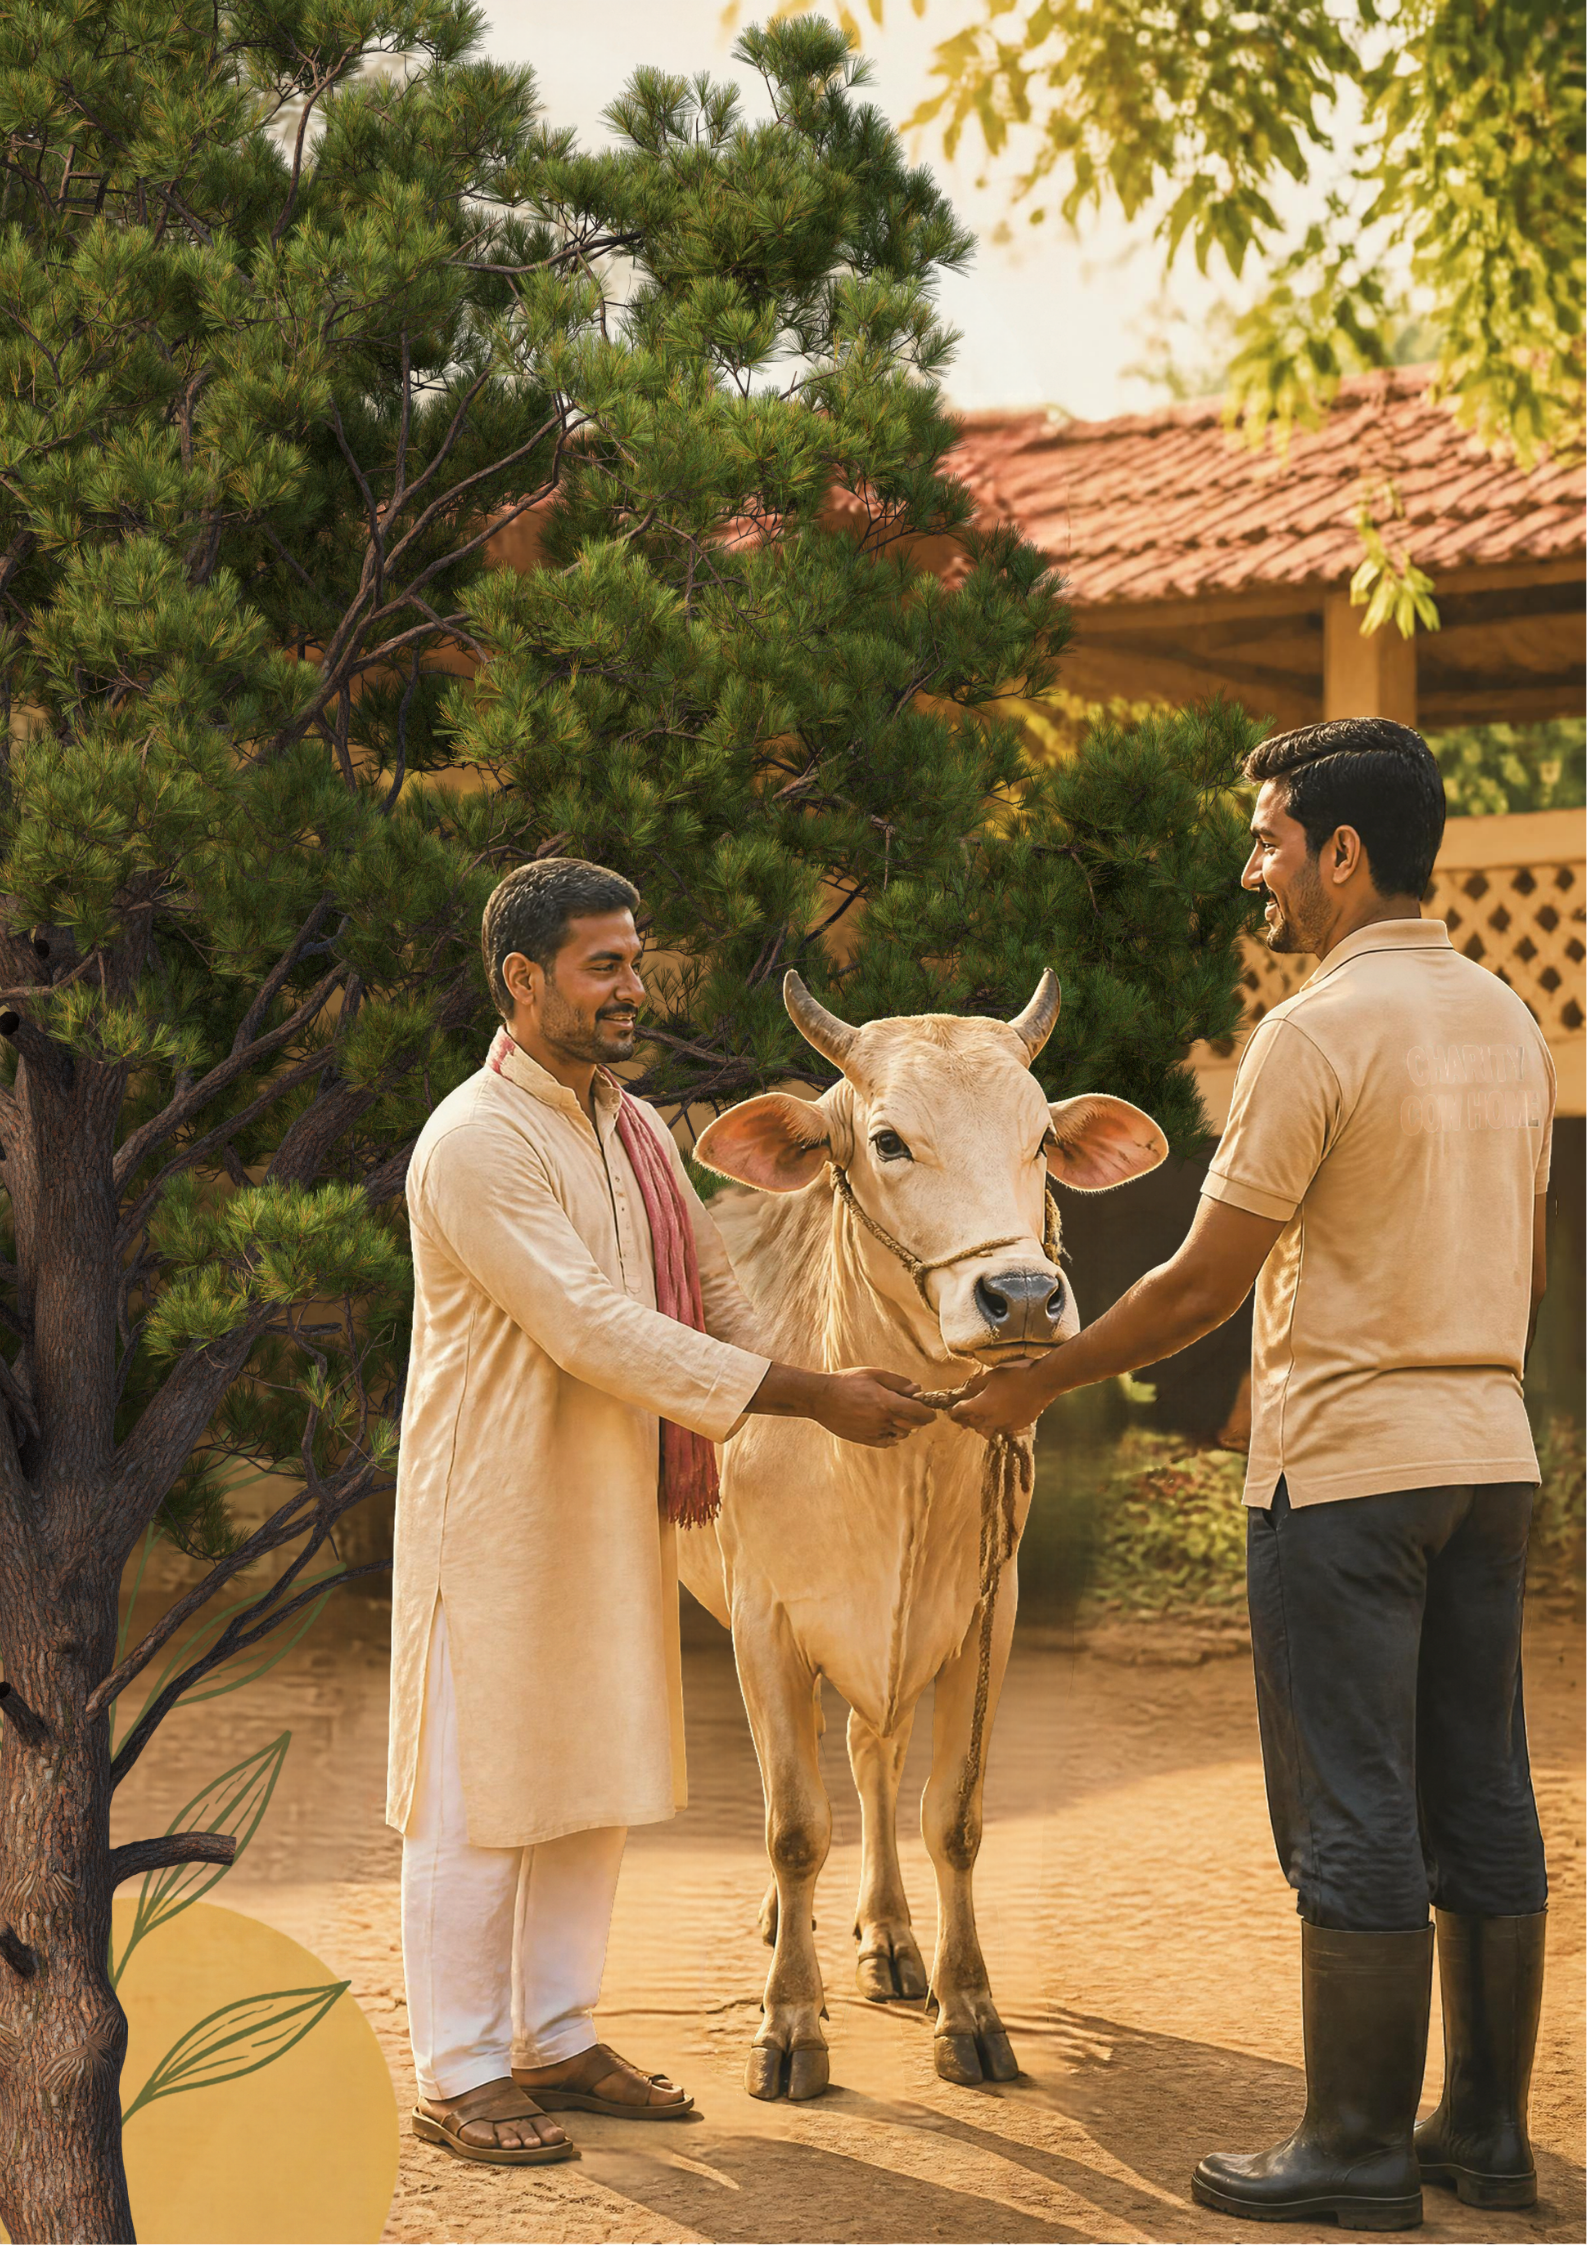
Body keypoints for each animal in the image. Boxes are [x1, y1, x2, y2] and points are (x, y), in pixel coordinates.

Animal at [680, 968, 1167, 2101]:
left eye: (1041, 1137)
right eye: (889, 1139)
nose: (1021, 1296)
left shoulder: (983, 1619)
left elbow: (951, 1816)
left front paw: (970, 2008)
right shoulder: (765, 1624)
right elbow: (792, 1825)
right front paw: (788, 2023)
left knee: (873, 1759)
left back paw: (891, 1935)